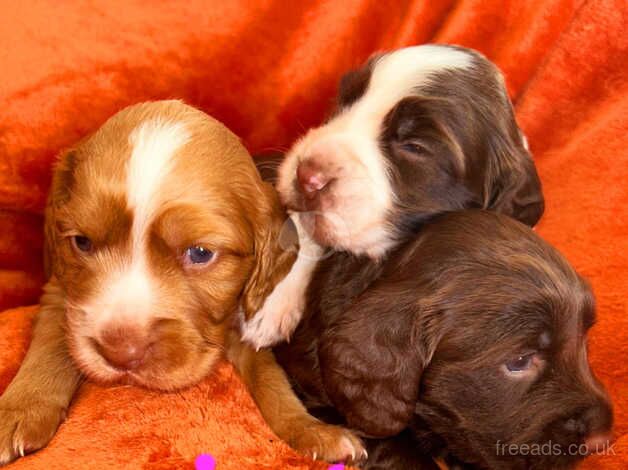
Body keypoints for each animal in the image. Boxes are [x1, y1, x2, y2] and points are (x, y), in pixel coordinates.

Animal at [0, 101, 364, 464]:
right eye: (82, 242)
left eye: (200, 253)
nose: (121, 354)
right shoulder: (59, 289)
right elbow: (49, 343)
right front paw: (19, 410)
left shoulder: (239, 317)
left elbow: (270, 377)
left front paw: (311, 430)